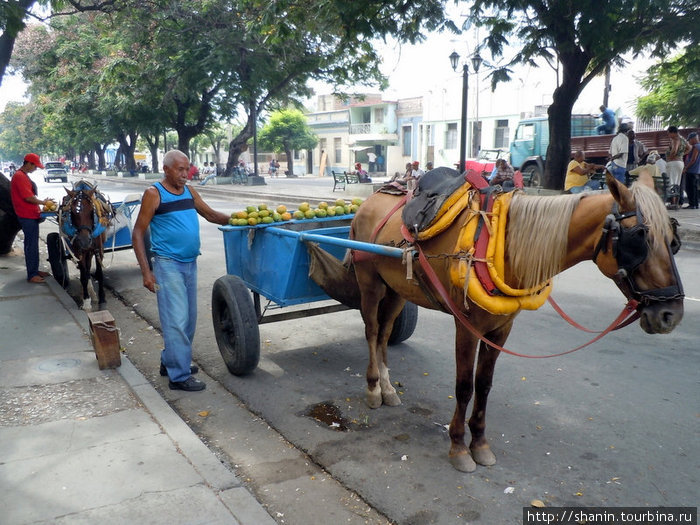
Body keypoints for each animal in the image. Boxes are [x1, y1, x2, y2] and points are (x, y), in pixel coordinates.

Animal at [350, 172, 684, 470]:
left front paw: (479, 443)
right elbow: (464, 386)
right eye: (639, 239)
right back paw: (373, 388)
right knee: (372, 331)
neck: (500, 245)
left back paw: (388, 388)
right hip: (370, 283)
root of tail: (370, 201)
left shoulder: (501, 329)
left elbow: (484, 385)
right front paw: (458, 446)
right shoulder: (466, 328)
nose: (671, 315)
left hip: (397, 290)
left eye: (673, 242)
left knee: (385, 334)